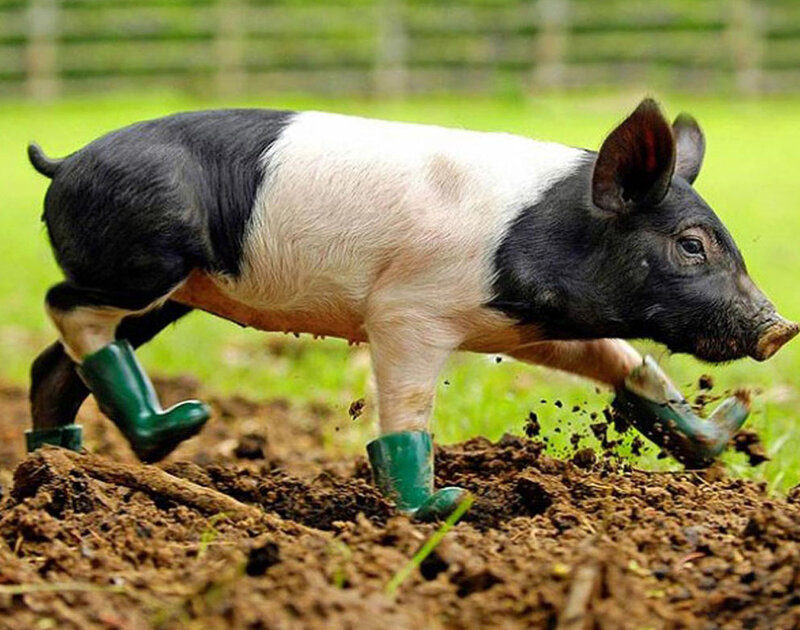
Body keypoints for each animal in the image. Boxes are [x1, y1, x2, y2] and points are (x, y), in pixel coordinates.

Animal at [26, 98, 797, 520]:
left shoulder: (527, 326)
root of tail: (64, 161)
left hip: (171, 291)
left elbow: (624, 360)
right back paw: (177, 428)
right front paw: (446, 507)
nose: (780, 329)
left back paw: (71, 463)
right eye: (691, 245)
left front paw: (725, 428)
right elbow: (407, 416)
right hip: (143, 259)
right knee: (63, 306)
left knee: (52, 363)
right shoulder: (408, 313)